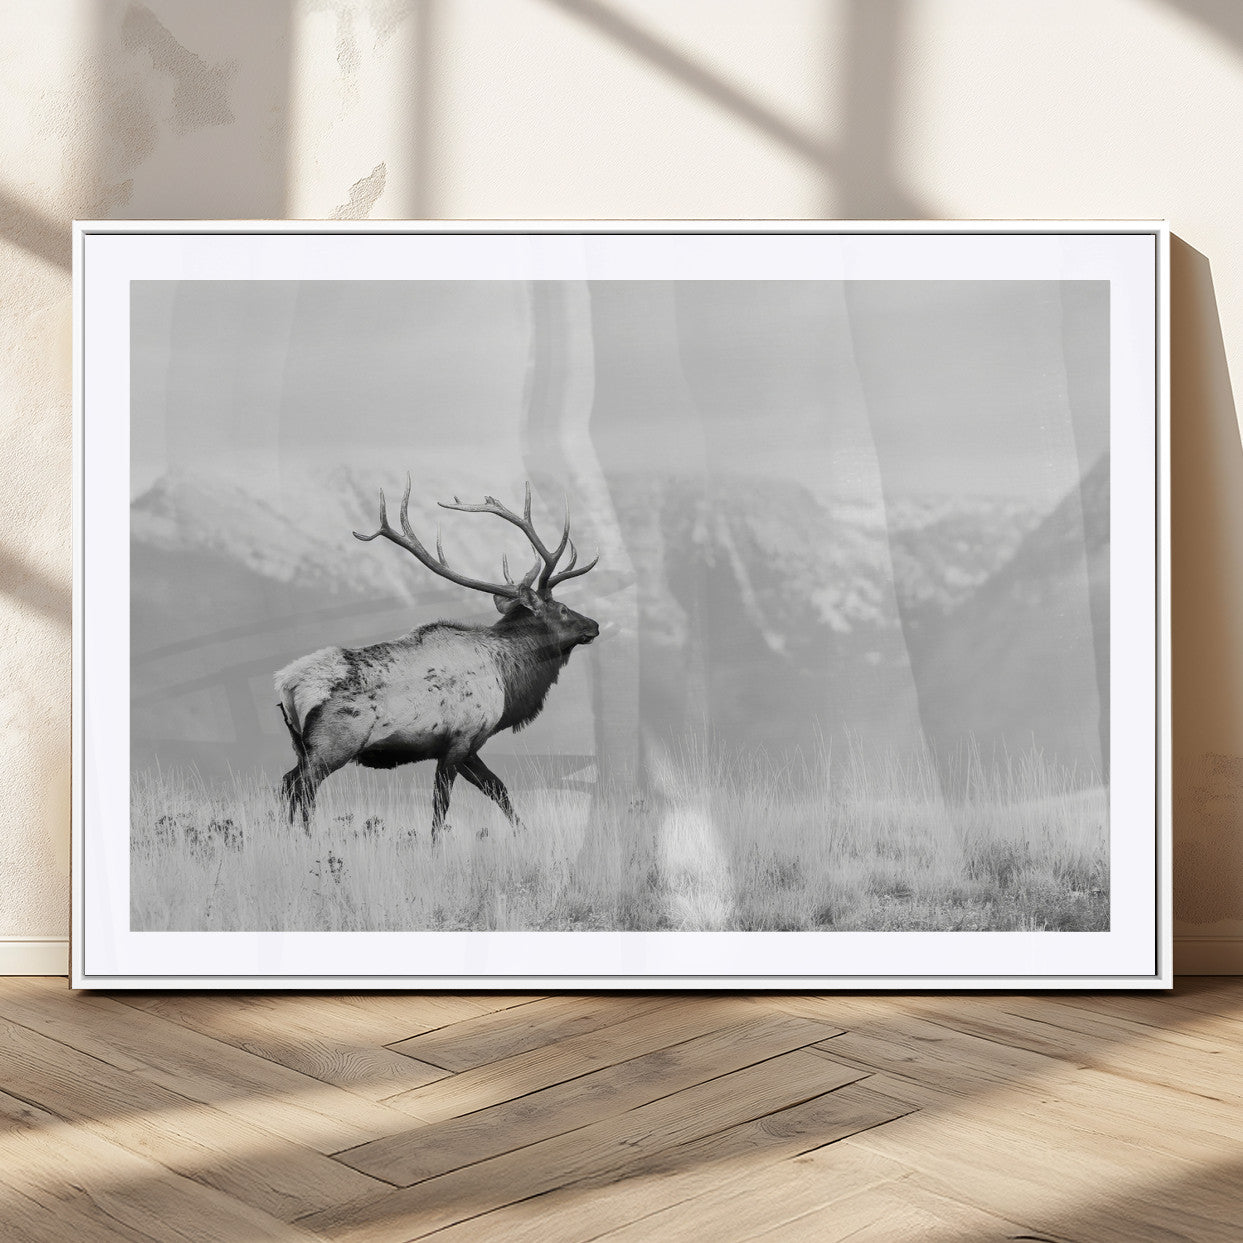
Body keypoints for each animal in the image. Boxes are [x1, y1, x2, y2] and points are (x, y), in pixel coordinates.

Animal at [274, 478, 601, 840]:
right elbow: (441, 806)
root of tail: (287, 685)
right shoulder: (459, 740)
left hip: (301, 745)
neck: (507, 677)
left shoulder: (469, 747)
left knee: (288, 782)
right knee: (301, 786)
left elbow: (498, 789)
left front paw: (524, 835)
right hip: (333, 744)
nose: (594, 625)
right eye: (563, 609)